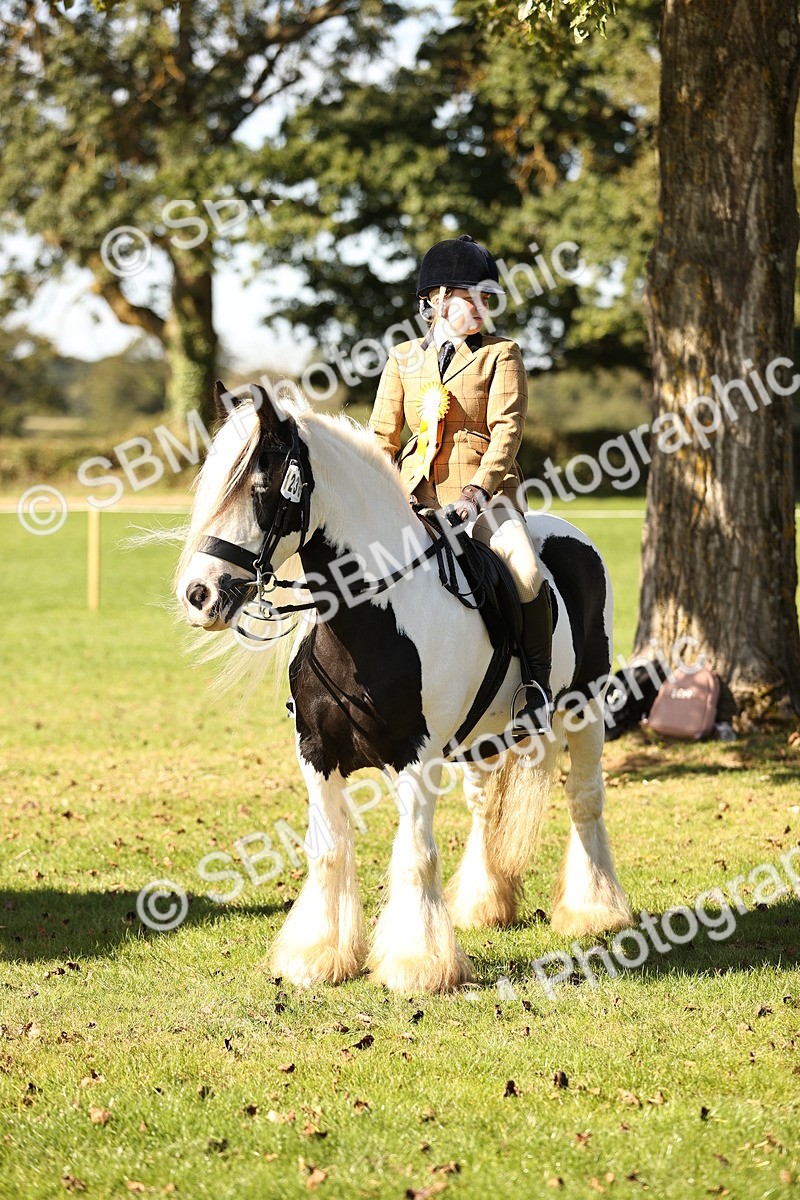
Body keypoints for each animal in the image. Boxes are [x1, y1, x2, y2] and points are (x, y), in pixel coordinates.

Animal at [175, 383, 634, 993]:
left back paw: (595, 911)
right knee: (485, 808)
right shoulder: (315, 754)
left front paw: (418, 965)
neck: (368, 615)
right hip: (485, 739)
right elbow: (328, 851)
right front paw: (317, 955)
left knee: (585, 800)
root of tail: (573, 535)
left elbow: (415, 856)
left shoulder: (416, 759)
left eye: (260, 488)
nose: (198, 595)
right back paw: (483, 906)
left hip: (585, 711)